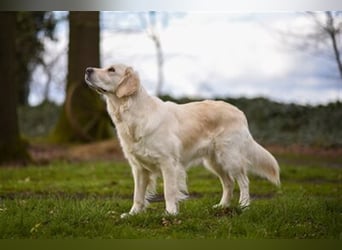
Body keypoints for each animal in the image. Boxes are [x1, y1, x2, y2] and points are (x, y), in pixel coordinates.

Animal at [84, 64, 280, 217]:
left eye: (111, 69)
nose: (87, 70)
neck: (132, 114)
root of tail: (239, 112)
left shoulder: (168, 163)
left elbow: (169, 191)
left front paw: (170, 213)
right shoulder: (138, 167)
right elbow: (137, 195)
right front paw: (132, 214)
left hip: (229, 157)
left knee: (244, 181)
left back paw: (244, 206)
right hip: (213, 161)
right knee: (229, 183)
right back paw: (221, 206)